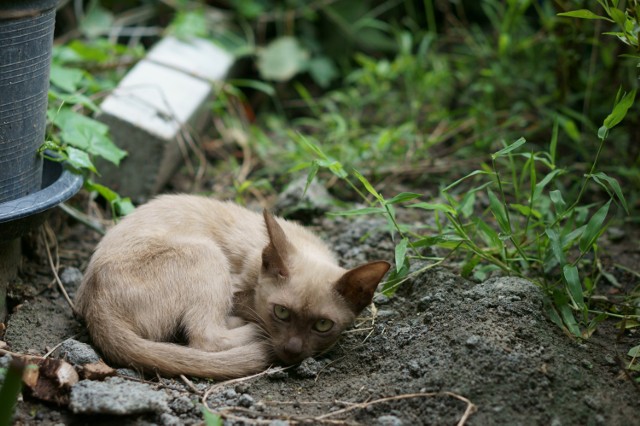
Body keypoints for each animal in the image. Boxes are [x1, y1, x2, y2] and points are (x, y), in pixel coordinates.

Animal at [77, 196, 392, 380]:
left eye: (323, 325)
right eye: (281, 312)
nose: (292, 350)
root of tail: (96, 308)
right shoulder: (239, 289)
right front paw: (256, 325)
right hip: (207, 253)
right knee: (204, 338)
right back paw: (251, 330)